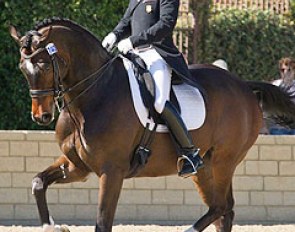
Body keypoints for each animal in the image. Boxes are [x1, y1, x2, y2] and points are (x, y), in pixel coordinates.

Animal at [9, 18, 295, 232]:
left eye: (45, 65)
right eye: (22, 67)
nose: (41, 116)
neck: (94, 95)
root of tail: (244, 86)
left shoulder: (111, 171)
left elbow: (102, 222)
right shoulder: (77, 166)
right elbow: (38, 182)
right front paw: (52, 226)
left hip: (224, 161)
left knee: (222, 207)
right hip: (205, 167)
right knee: (222, 211)